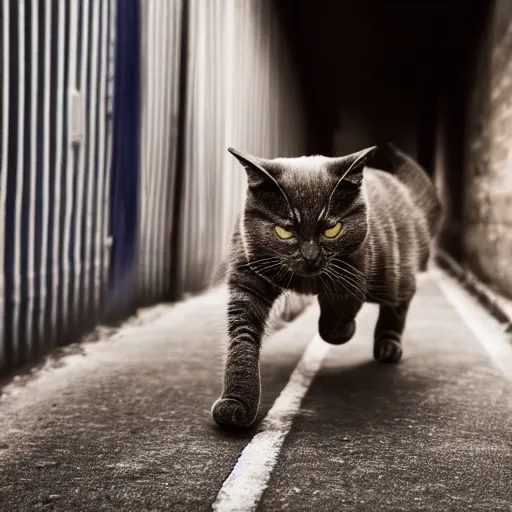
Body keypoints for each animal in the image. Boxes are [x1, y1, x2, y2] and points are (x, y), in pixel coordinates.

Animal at [210, 142, 442, 430]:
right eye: (285, 231)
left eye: (332, 230)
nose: (310, 257)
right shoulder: (248, 273)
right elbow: (242, 337)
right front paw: (236, 401)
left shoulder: (354, 269)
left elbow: (340, 311)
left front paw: (343, 330)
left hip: (394, 274)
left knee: (400, 301)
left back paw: (388, 345)